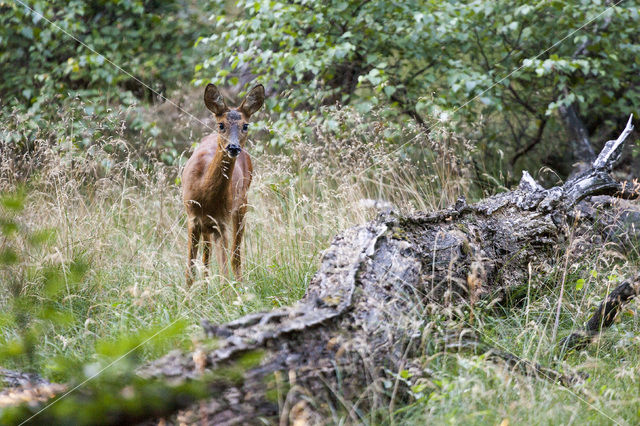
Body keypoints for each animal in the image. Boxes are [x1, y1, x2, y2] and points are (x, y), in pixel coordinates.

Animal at [182, 83, 264, 284]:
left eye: (245, 125)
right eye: (221, 125)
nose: (233, 147)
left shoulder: (222, 222)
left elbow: (224, 271)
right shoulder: (192, 218)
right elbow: (190, 270)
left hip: (241, 205)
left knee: (235, 255)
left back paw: (239, 284)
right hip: (208, 226)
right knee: (206, 257)